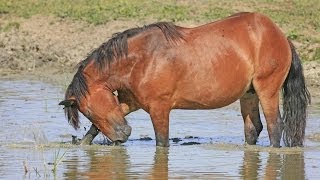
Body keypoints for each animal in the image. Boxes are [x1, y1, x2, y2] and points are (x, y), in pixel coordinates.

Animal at [59, 12, 310, 148]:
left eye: (88, 110)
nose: (122, 136)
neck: (142, 59)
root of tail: (280, 36)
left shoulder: (159, 109)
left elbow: (162, 143)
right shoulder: (131, 102)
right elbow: (96, 128)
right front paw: (82, 145)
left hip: (267, 90)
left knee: (275, 126)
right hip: (249, 94)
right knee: (253, 128)